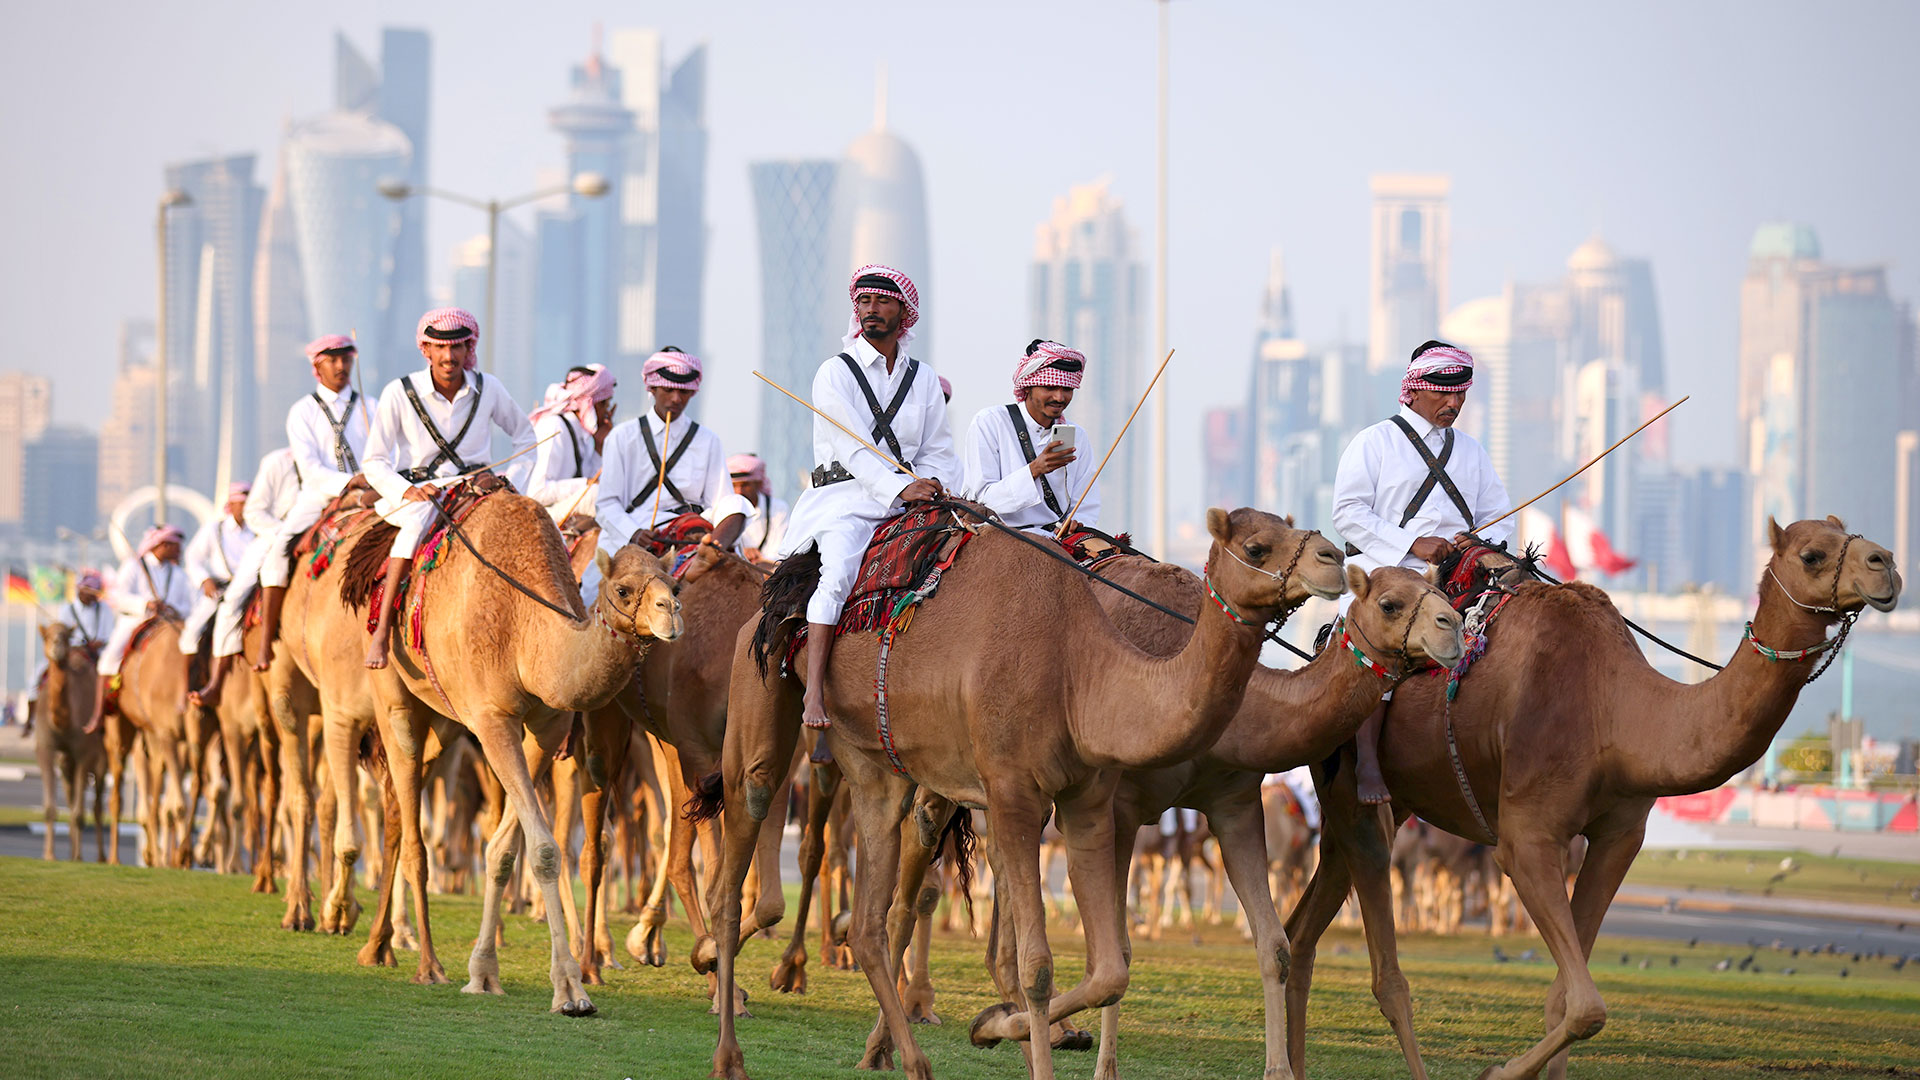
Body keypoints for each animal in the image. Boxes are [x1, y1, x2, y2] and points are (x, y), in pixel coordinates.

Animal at [33, 622, 109, 857]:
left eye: (66, 636)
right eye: (46, 636)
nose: (57, 645)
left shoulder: (85, 753)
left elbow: (78, 813)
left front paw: (78, 856)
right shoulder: (46, 748)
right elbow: (50, 808)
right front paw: (49, 855)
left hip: (102, 757)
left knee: (97, 805)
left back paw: (101, 856)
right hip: (67, 762)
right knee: (72, 792)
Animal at [698, 507, 1344, 1076]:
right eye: (1256, 547)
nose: (1334, 558)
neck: (1079, 670)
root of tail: (778, 589)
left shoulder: (1091, 799)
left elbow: (1110, 968)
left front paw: (994, 1027)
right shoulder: (1015, 793)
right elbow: (1038, 966)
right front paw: (1019, 1036)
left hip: (877, 765)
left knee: (872, 919)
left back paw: (909, 1059)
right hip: (762, 690)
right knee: (745, 836)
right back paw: (728, 1039)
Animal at [1282, 515, 1896, 1076]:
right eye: (1813, 554)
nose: (1885, 563)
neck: (1616, 710)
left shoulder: (1619, 836)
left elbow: (1564, 1000)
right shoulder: (1527, 839)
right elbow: (1585, 1006)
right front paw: (1498, 1071)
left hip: (1382, 808)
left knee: (1302, 932)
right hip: (1355, 797)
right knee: (1383, 968)